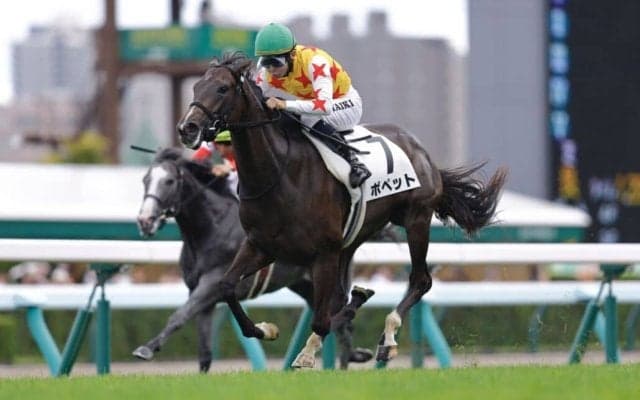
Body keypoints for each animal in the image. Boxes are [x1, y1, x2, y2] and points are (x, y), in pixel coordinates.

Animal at [133, 147, 374, 371]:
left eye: (169, 181)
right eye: (145, 180)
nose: (145, 220)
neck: (212, 228)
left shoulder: (210, 285)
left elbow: (178, 317)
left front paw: (146, 349)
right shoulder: (202, 297)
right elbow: (205, 352)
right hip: (306, 286)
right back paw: (353, 355)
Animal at [176, 53, 507, 368]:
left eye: (222, 88)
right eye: (196, 87)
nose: (187, 128)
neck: (280, 174)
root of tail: (421, 151)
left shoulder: (323, 252)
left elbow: (321, 318)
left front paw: (308, 353)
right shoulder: (261, 245)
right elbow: (227, 286)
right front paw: (265, 329)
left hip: (416, 219)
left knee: (419, 280)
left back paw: (387, 337)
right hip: (355, 236)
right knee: (343, 298)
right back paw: (359, 302)